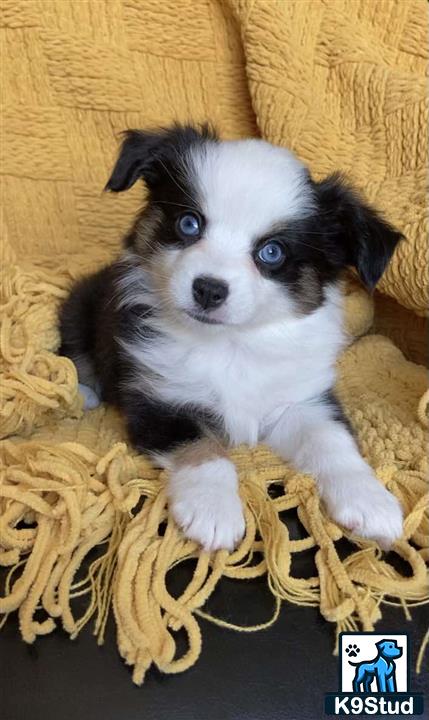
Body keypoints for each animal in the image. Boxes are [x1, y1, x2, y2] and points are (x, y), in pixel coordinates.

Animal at [58, 124, 402, 552]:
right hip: (80, 305)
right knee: (75, 353)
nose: (208, 289)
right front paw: (213, 510)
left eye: (272, 252)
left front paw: (370, 500)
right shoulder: (160, 398)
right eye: (189, 224)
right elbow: (204, 448)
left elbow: (332, 441)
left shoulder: (300, 399)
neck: (230, 342)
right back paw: (83, 392)